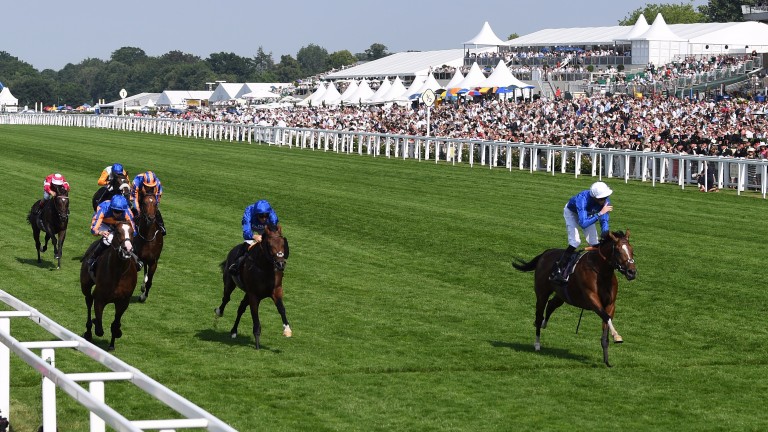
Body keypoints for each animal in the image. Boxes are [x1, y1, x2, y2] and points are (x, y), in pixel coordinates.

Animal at [80, 221, 137, 350]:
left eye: (132, 232)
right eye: (118, 232)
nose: (127, 249)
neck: (119, 272)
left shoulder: (123, 302)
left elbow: (116, 324)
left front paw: (113, 340)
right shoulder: (99, 299)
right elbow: (99, 329)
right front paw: (95, 322)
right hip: (85, 285)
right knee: (88, 300)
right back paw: (88, 332)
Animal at [510, 231, 636, 366]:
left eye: (631, 250)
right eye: (617, 250)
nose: (632, 272)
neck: (601, 272)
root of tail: (546, 253)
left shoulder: (610, 304)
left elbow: (606, 324)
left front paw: (607, 360)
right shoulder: (592, 299)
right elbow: (606, 317)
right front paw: (617, 336)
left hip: (562, 295)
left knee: (551, 305)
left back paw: (544, 324)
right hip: (542, 293)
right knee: (539, 315)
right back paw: (537, 343)